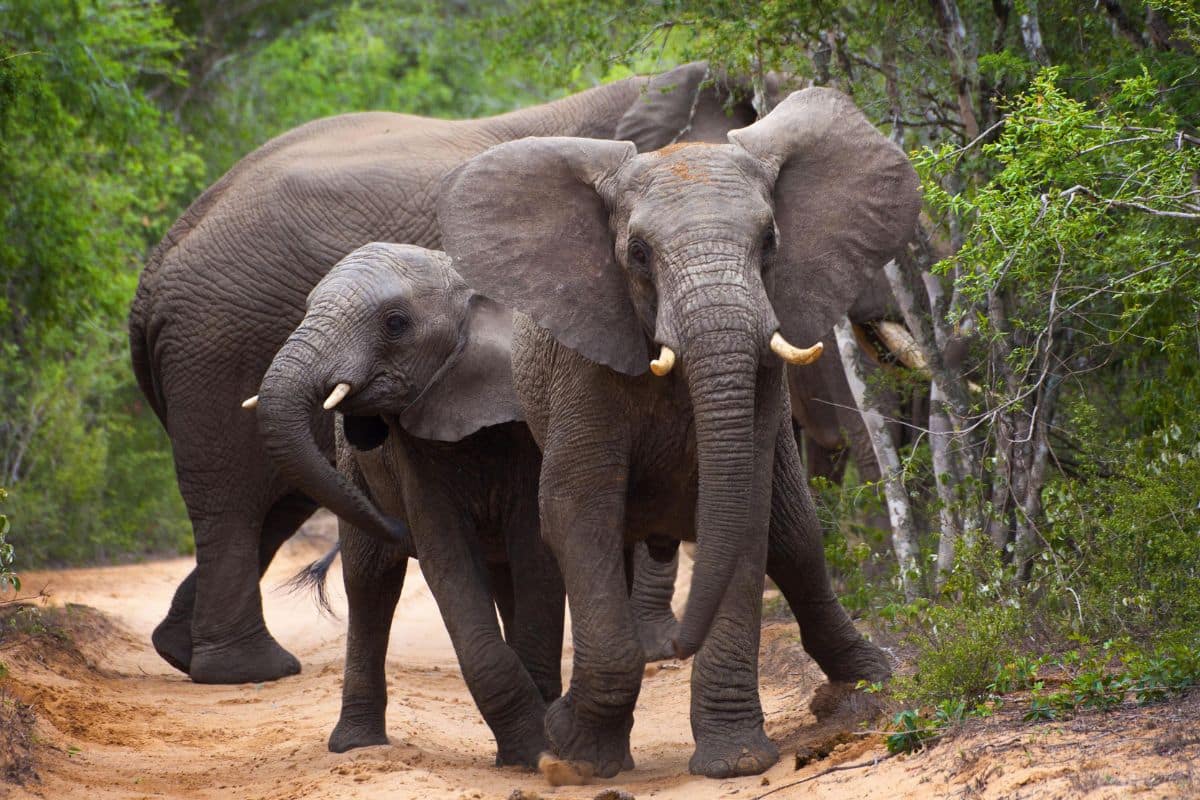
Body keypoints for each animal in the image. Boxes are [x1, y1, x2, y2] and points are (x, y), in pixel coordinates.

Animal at [128, 60, 780, 684]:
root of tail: (156, 264)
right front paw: (658, 650)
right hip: (217, 344)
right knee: (235, 503)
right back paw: (247, 671)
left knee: (280, 498)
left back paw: (185, 652)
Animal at [255, 242, 562, 766]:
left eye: (395, 323)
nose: (398, 527)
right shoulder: (411, 452)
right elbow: (448, 562)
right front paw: (533, 751)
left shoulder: (528, 430)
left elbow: (536, 557)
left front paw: (540, 752)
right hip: (352, 467)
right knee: (369, 584)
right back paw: (355, 747)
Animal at [436, 87, 921, 778]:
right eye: (638, 254)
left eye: (770, 240)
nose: (677, 646)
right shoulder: (585, 366)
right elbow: (576, 511)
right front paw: (575, 756)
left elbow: (747, 515)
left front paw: (735, 762)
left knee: (797, 542)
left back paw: (869, 681)